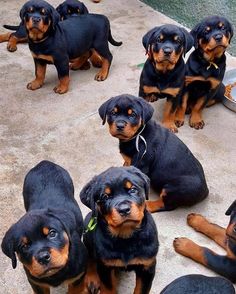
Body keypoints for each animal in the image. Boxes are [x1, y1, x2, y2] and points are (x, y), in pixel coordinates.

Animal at [1, 161, 87, 294]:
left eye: (52, 233)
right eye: (24, 246)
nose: (43, 258)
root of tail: (44, 163)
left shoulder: (78, 277)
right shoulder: (37, 283)